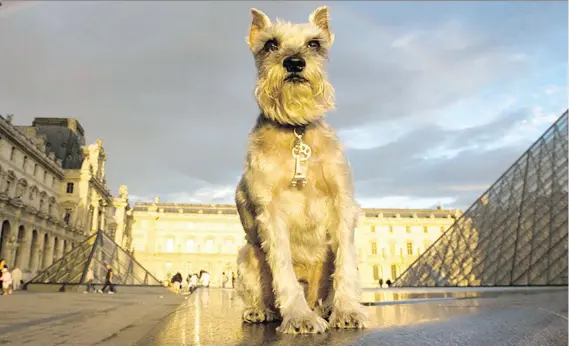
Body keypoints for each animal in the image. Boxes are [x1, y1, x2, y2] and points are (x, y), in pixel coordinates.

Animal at [235, 6, 368, 336]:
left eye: (314, 44)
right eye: (270, 44)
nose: (294, 62)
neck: (296, 129)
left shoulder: (342, 203)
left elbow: (346, 265)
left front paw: (347, 310)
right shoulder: (270, 212)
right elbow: (282, 269)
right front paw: (298, 317)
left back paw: (328, 307)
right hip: (247, 254)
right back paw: (263, 310)